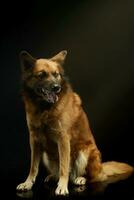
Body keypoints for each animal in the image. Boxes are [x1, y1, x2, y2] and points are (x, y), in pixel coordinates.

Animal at [16, 50, 133, 195]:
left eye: (56, 74)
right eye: (41, 75)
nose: (57, 88)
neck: (44, 108)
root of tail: (101, 168)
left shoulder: (63, 138)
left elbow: (64, 166)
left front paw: (62, 186)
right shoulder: (34, 139)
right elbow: (33, 167)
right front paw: (27, 183)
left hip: (85, 152)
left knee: (94, 177)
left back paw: (80, 178)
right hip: (46, 156)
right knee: (59, 171)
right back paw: (53, 176)